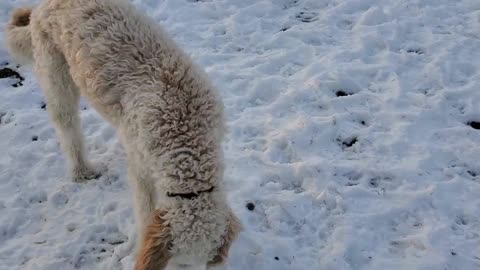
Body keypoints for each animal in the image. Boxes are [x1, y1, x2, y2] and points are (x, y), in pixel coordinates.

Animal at [4, 1, 240, 268]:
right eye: (180, 264)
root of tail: (42, 7)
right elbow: (144, 210)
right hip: (56, 73)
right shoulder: (142, 169)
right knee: (67, 124)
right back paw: (81, 169)